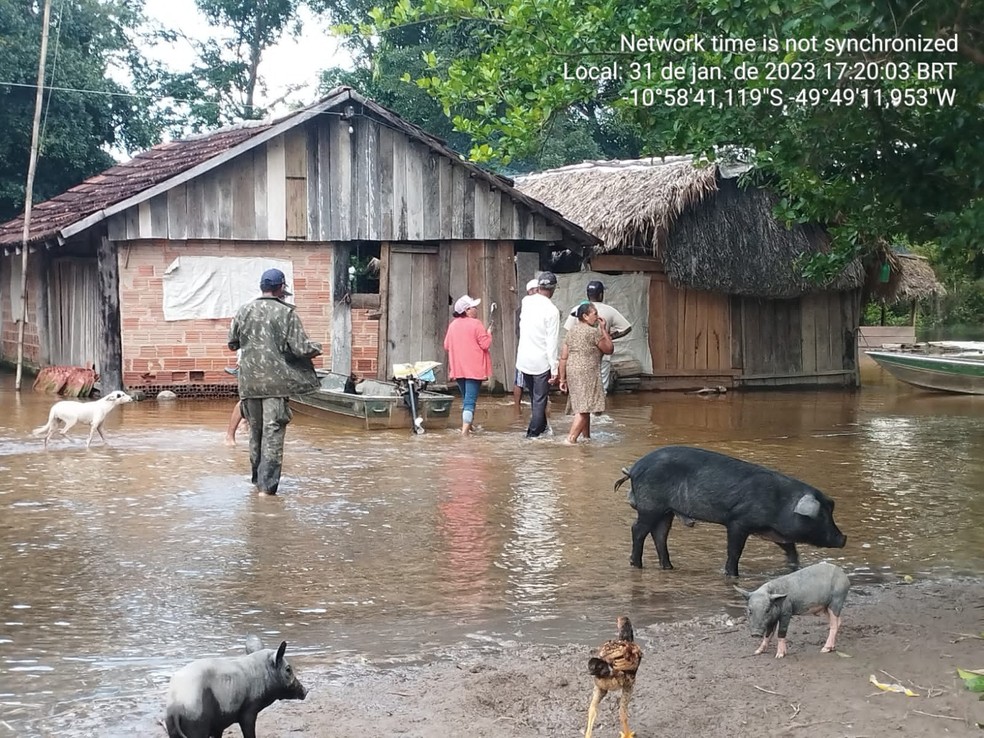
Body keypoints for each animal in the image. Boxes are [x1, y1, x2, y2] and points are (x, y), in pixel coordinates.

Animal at [164, 632, 308, 736]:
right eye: (288, 669)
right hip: (198, 725)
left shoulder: (219, 726)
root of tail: (176, 707)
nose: (306, 690)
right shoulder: (248, 711)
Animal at [616, 442, 844, 576]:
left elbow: (790, 548)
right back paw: (636, 564)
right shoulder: (738, 522)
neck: (780, 502)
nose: (844, 538)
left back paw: (669, 567)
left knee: (660, 534)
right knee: (638, 530)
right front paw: (732, 575)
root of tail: (634, 469)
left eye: (830, 511)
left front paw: (794, 568)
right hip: (650, 507)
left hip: (666, 511)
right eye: (822, 515)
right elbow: (735, 551)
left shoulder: (774, 533)